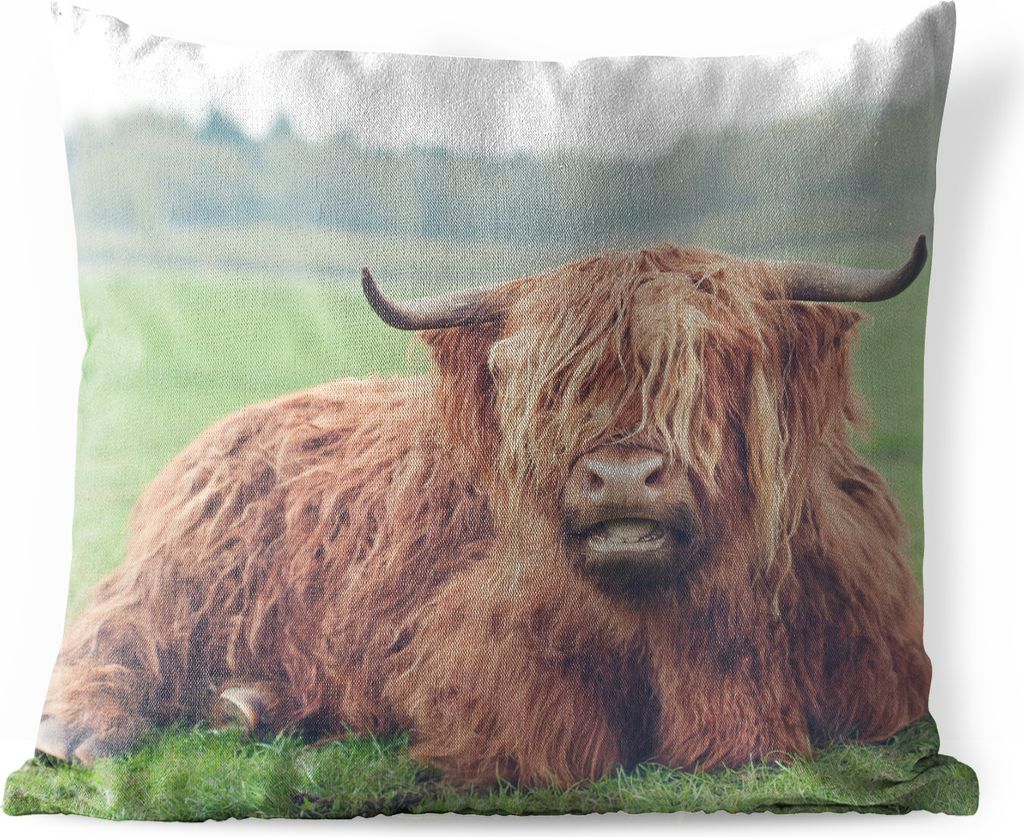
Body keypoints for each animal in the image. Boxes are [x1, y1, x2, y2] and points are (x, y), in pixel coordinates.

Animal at [36, 238, 932, 786]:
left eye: (710, 364)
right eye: (546, 386)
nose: (621, 474)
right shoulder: (470, 646)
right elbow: (552, 729)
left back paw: (249, 706)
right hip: (180, 573)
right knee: (111, 632)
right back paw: (76, 733)